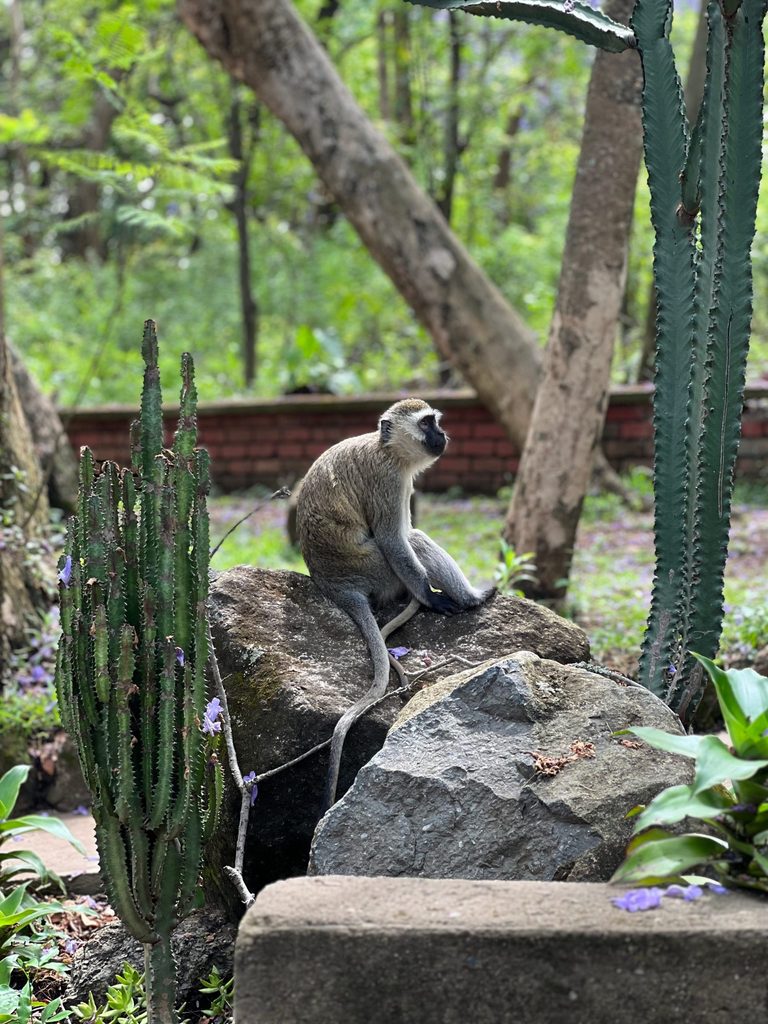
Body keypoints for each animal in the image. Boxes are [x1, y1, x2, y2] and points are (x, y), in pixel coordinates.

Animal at [296, 398, 493, 809]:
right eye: (427, 423)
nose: (442, 434)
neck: (386, 450)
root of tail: (338, 586)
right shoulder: (389, 482)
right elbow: (394, 539)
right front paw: (433, 598)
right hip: (376, 570)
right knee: (414, 540)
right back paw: (469, 599)